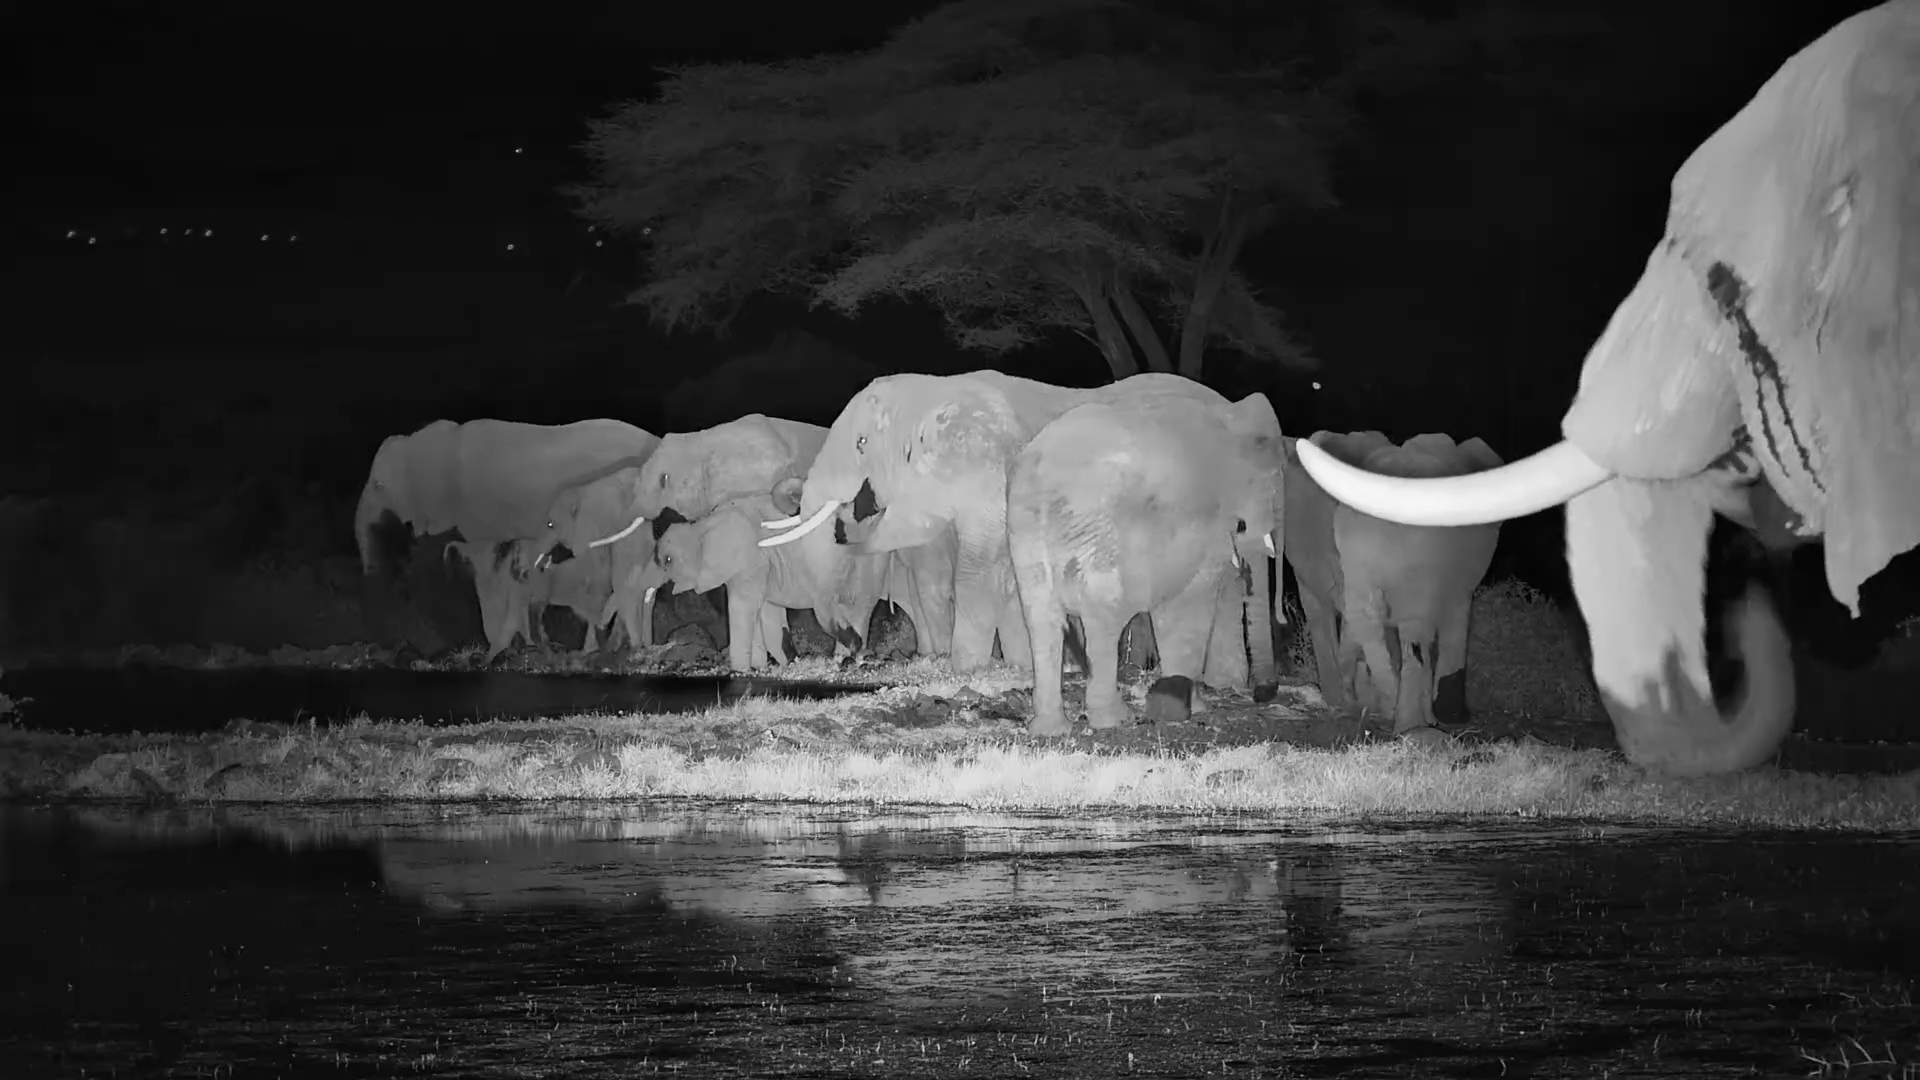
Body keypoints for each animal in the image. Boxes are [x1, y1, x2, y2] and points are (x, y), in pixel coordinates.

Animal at [1008, 391, 1285, 735]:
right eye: (1272, 491)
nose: (1263, 693)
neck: (1230, 417)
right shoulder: (1207, 527)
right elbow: (1191, 603)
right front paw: (1192, 707)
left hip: (1025, 531)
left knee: (1042, 620)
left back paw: (1051, 729)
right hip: (1101, 540)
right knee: (1103, 619)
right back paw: (1113, 719)